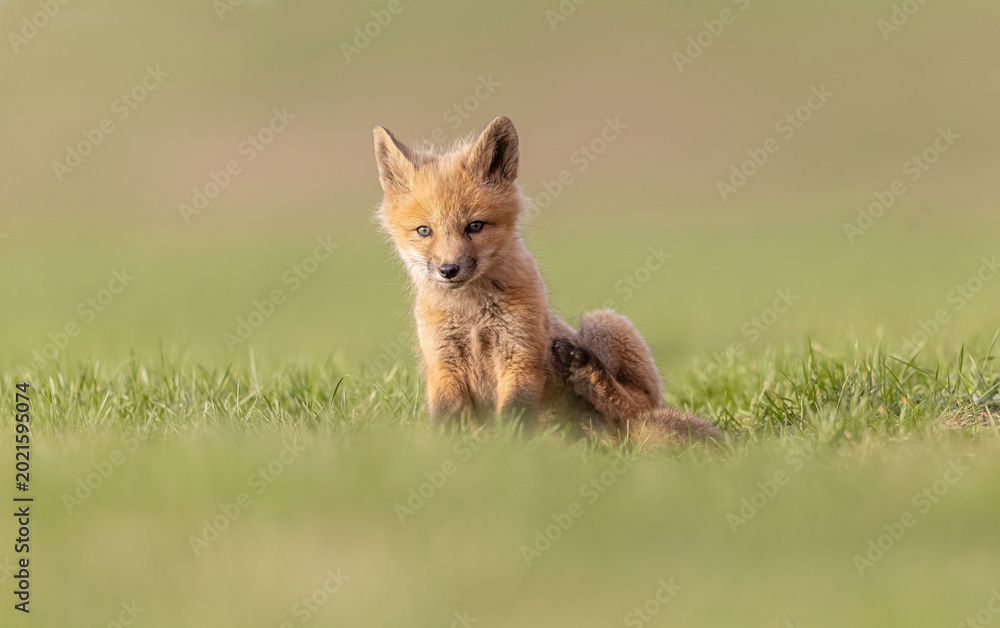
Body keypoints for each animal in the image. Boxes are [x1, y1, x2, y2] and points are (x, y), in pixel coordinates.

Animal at [372, 116, 723, 446]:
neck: (471, 314)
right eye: (424, 231)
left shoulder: (520, 356)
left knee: (635, 407)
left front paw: (505, 450)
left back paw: (587, 374)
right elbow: (446, 421)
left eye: (475, 226)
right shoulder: (443, 364)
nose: (449, 269)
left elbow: (513, 416)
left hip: (603, 322)